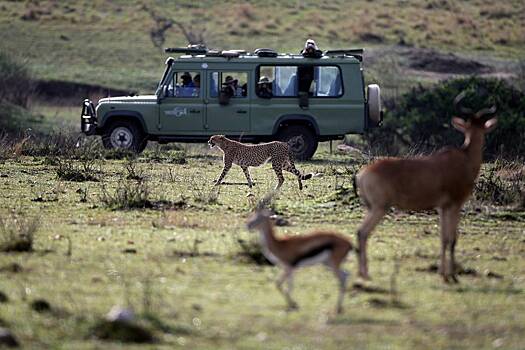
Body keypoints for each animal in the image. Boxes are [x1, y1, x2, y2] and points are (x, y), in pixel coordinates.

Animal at [356, 92, 496, 282]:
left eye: (481, 127)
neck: (464, 158)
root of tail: (363, 173)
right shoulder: (455, 205)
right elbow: (452, 239)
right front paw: (452, 276)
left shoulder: (443, 207)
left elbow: (443, 238)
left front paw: (443, 273)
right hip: (379, 207)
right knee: (362, 232)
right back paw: (365, 273)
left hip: (372, 207)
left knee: (360, 233)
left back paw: (362, 273)